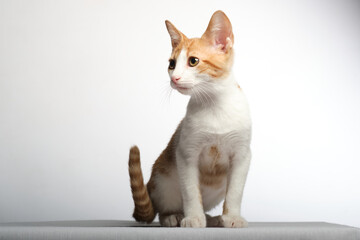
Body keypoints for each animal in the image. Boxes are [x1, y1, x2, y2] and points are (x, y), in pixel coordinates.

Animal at [129, 10, 250, 228]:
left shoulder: (242, 155)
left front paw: (232, 217)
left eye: (193, 61)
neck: (213, 105)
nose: (174, 78)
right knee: (163, 210)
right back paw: (173, 217)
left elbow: (235, 192)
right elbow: (191, 191)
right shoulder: (186, 153)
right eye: (172, 64)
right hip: (162, 181)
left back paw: (213, 218)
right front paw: (193, 217)